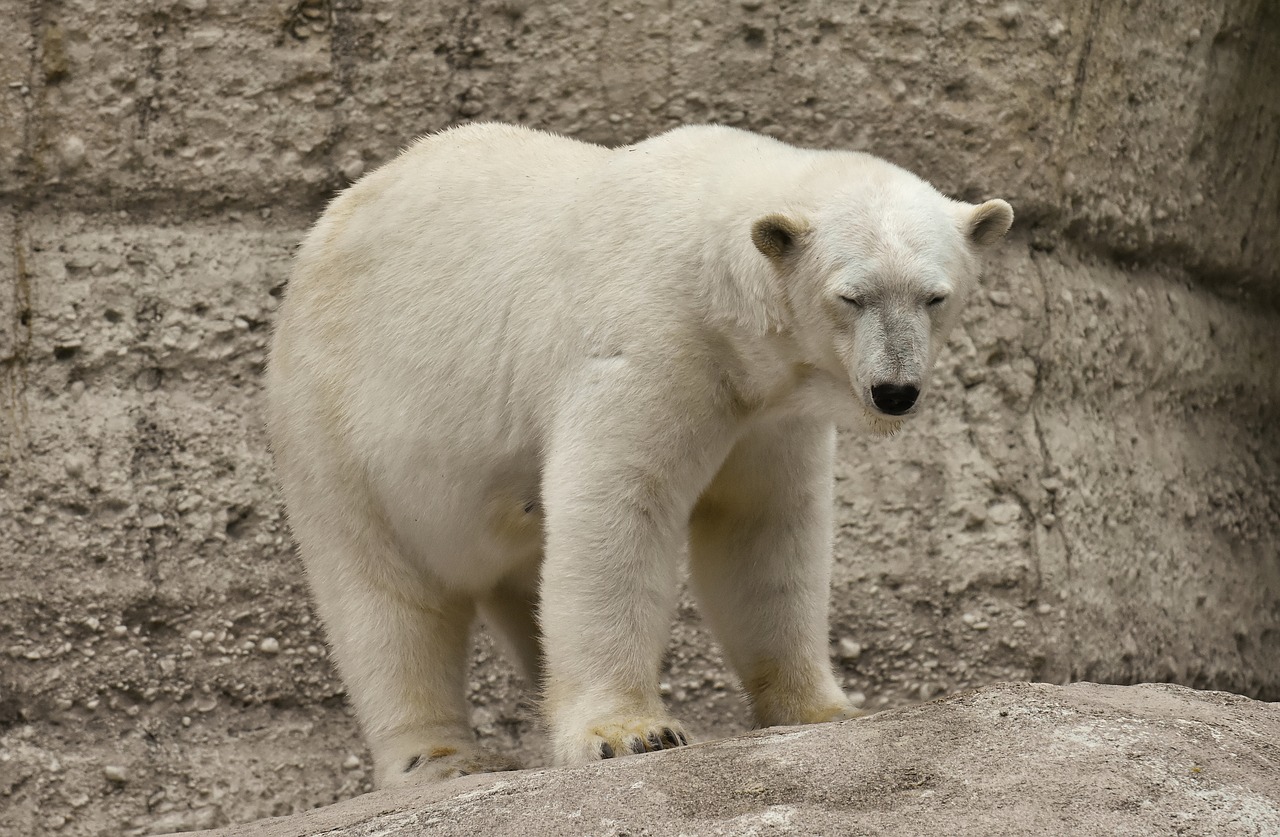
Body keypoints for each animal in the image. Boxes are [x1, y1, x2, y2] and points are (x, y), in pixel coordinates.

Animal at [264, 121, 1013, 788]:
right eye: (851, 296)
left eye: (934, 296)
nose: (895, 391)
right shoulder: (647, 342)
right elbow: (618, 508)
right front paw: (631, 731)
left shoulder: (768, 414)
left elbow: (762, 532)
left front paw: (826, 708)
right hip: (340, 428)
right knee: (383, 596)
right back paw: (439, 756)